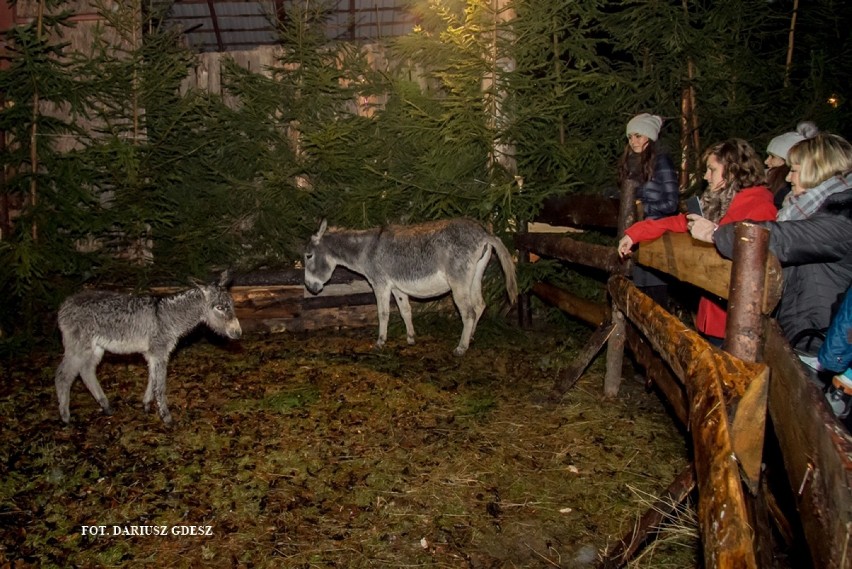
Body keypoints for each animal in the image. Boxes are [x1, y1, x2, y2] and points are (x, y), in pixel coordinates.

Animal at [55, 272, 243, 424]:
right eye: (219, 307)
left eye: (232, 305)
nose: (238, 332)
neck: (168, 317)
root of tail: (66, 303)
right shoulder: (159, 352)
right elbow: (160, 386)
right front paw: (167, 418)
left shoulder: (154, 354)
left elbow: (152, 380)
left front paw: (146, 406)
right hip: (78, 347)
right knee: (63, 375)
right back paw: (65, 417)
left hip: (96, 348)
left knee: (86, 371)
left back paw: (106, 407)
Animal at [306, 219, 520, 356]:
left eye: (308, 255)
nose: (310, 287)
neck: (366, 249)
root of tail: (485, 233)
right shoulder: (397, 287)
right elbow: (405, 310)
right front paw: (410, 338)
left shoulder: (380, 284)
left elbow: (383, 313)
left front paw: (380, 342)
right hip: (475, 276)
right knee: (479, 305)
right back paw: (471, 338)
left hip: (458, 281)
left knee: (468, 312)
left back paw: (461, 348)